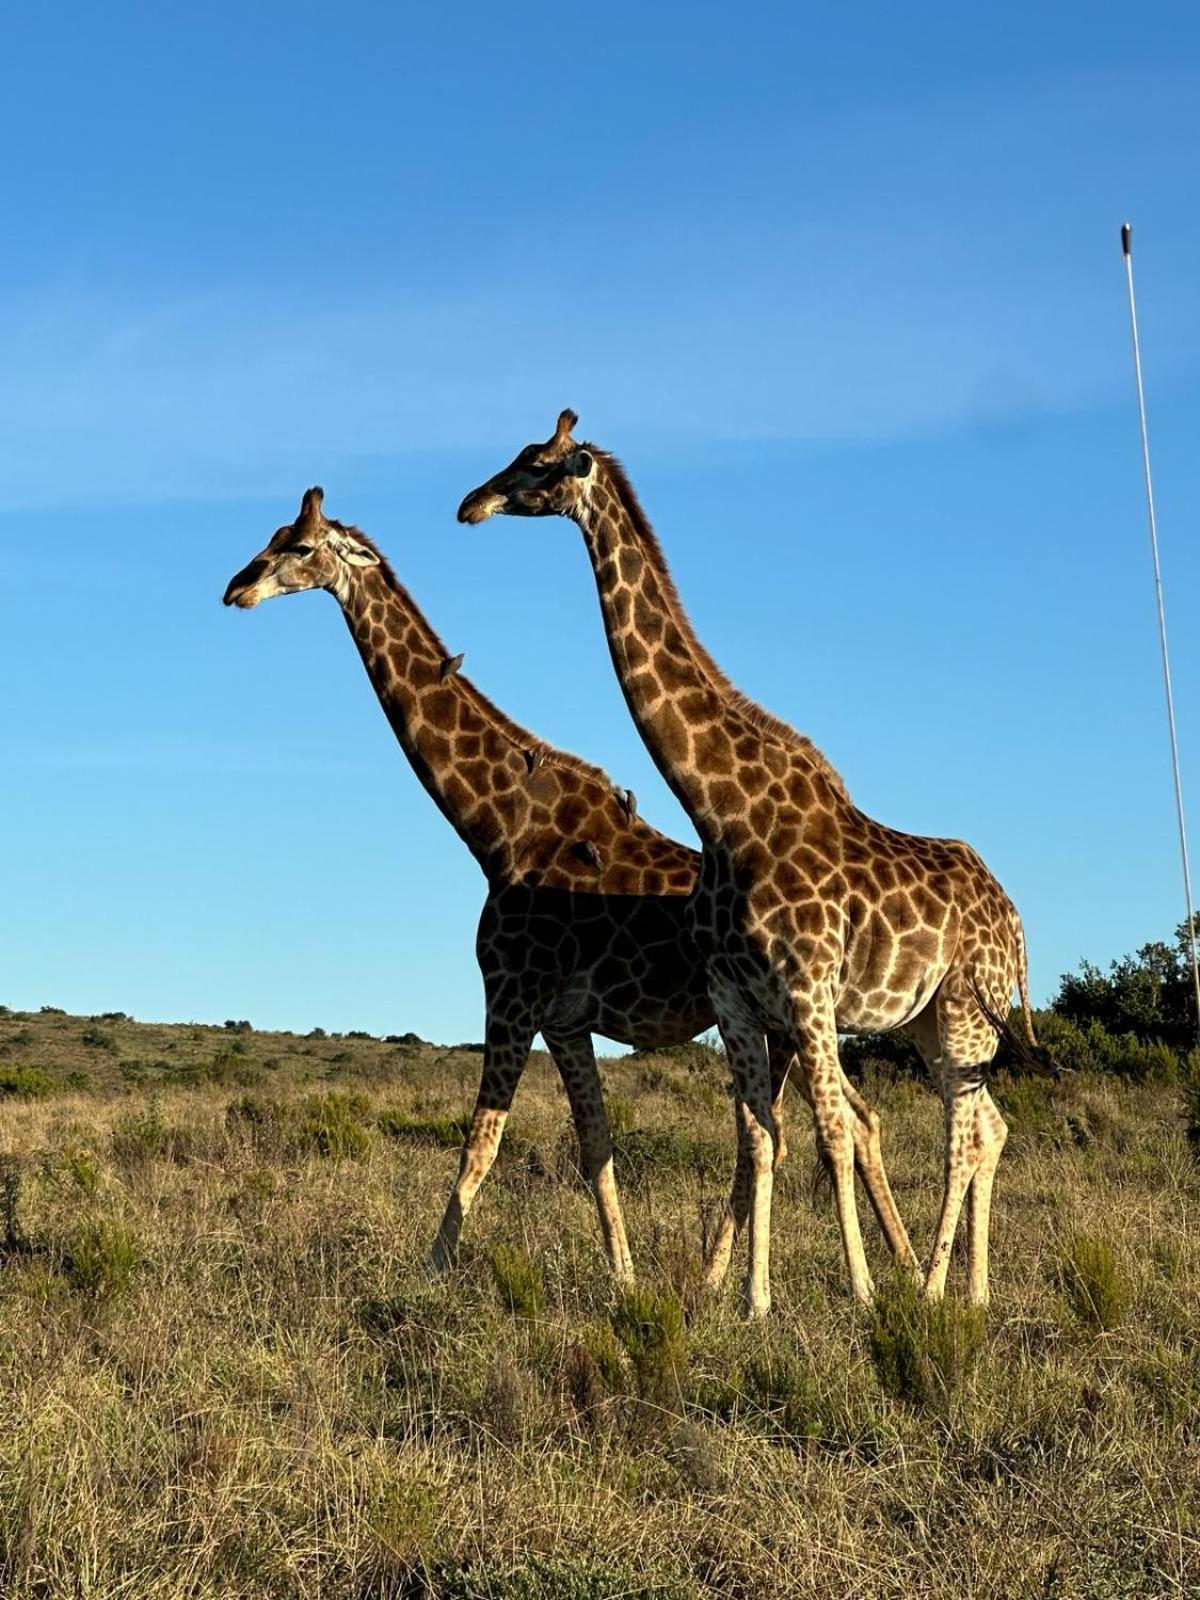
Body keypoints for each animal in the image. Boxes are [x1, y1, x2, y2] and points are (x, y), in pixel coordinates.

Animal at [224, 486, 921, 1286]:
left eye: (301, 547)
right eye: (274, 534)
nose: (236, 587)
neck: (496, 827)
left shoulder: (511, 994)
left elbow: (479, 1145)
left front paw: (430, 1276)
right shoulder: (563, 1020)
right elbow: (595, 1148)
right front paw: (624, 1276)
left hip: (788, 1016)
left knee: (837, 1123)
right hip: (779, 1023)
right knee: (849, 1122)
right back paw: (875, 1271)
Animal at [454, 409, 1036, 1312]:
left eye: (542, 465)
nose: (470, 504)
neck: (725, 814)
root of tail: (1015, 918)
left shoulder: (808, 990)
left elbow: (830, 1135)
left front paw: (862, 1295)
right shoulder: (736, 997)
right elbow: (761, 1138)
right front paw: (754, 1302)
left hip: (968, 1009)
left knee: (964, 1135)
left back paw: (934, 1289)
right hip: (930, 1021)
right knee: (989, 1126)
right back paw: (968, 1291)